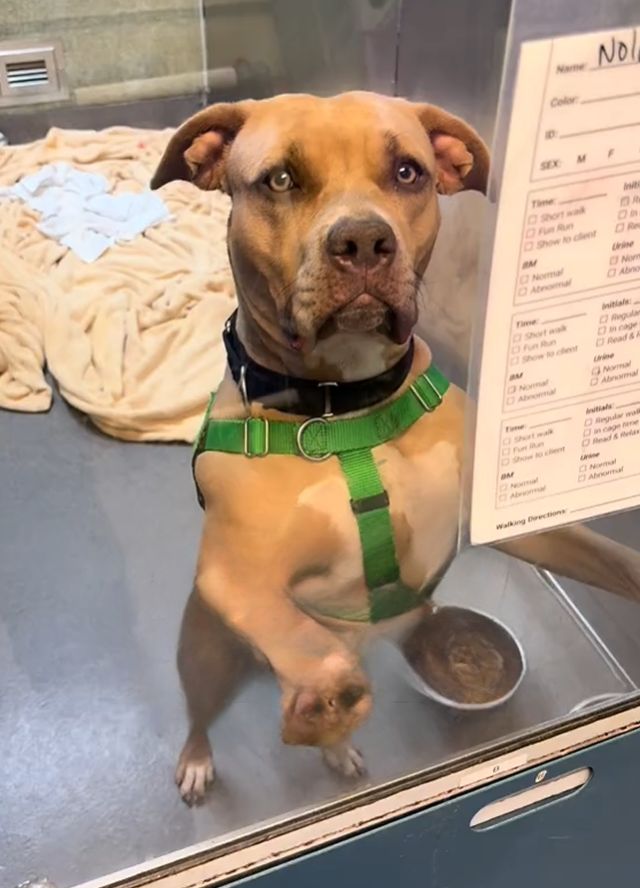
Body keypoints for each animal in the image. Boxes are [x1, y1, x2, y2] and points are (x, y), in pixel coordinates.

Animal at [151, 92, 640, 804]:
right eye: (280, 179)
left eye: (408, 172)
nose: (362, 240)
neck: (350, 410)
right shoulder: (235, 575)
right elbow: (300, 638)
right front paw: (319, 695)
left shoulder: (512, 528)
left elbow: (611, 558)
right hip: (206, 656)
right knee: (199, 715)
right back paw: (211, 755)